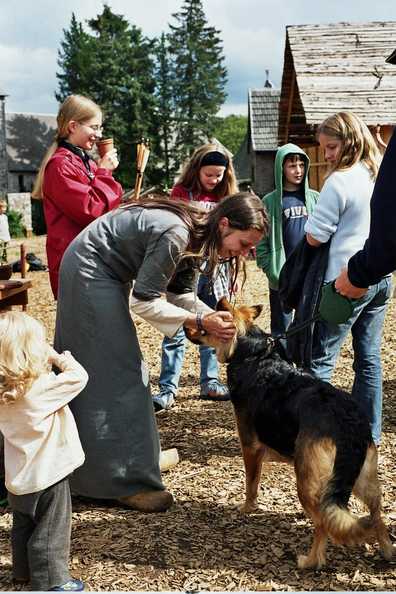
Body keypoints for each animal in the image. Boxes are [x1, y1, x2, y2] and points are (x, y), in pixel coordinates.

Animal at [186, 298, 396, 568]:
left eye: (205, 325)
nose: (185, 326)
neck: (254, 353)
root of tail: (345, 421)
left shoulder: (250, 447)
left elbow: (251, 483)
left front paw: (247, 508)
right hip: (363, 480)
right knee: (377, 514)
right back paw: (388, 550)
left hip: (307, 484)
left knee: (323, 523)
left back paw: (311, 561)